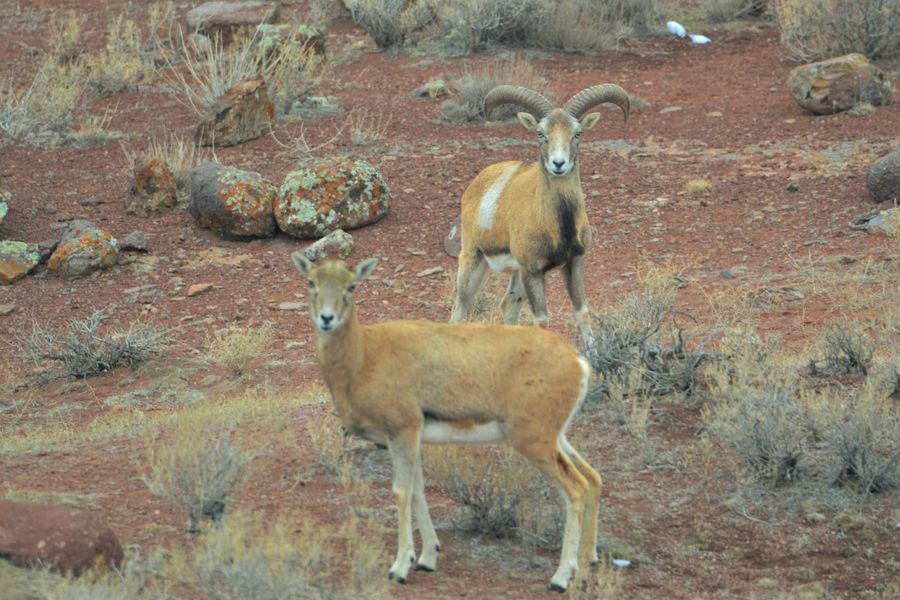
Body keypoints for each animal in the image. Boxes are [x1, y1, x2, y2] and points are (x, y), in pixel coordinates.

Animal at [296, 253, 600, 592]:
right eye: (311, 281)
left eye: (352, 285)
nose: (327, 318)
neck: (366, 355)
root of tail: (577, 362)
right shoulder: (409, 440)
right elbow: (418, 491)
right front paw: (427, 557)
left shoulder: (402, 434)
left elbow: (402, 492)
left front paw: (399, 567)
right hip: (558, 440)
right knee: (593, 478)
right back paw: (587, 563)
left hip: (536, 444)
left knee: (576, 489)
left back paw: (561, 578)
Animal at [450, 84, 632, 346]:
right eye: (540, 133)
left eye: (577, 133)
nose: (559, 164)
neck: (556, 226)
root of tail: (476, 185)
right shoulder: (532, 272)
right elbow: (543, 322)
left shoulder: (574, 264)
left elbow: (582, 314)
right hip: (473, 261)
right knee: (460, 309)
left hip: (515, 276)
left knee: (508, 306)